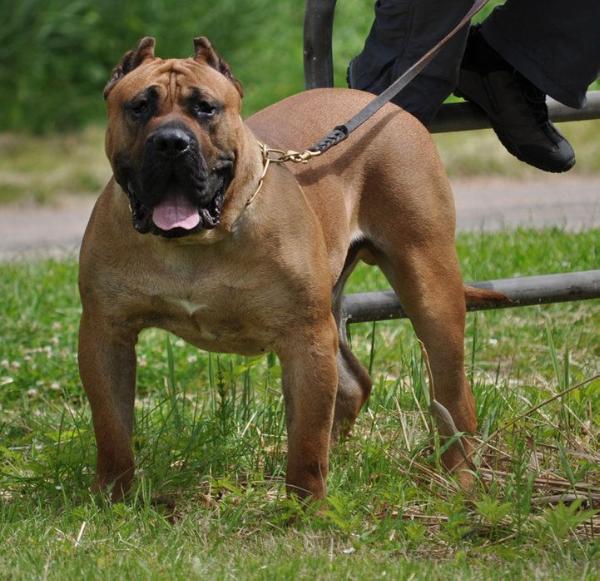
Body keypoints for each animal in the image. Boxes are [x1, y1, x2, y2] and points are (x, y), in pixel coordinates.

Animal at [81, 36, 488, 500]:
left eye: (205, 108)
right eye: (139, 107)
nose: (171, 142)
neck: (193, 243)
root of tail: (387, 106)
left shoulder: (304, 338)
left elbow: (306, 439)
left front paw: (306, 506)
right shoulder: (105, 334)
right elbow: (112, 427)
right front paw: (113, 498)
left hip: (428, 286)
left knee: (451, 392)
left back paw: (459, 474)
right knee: (353, 385)